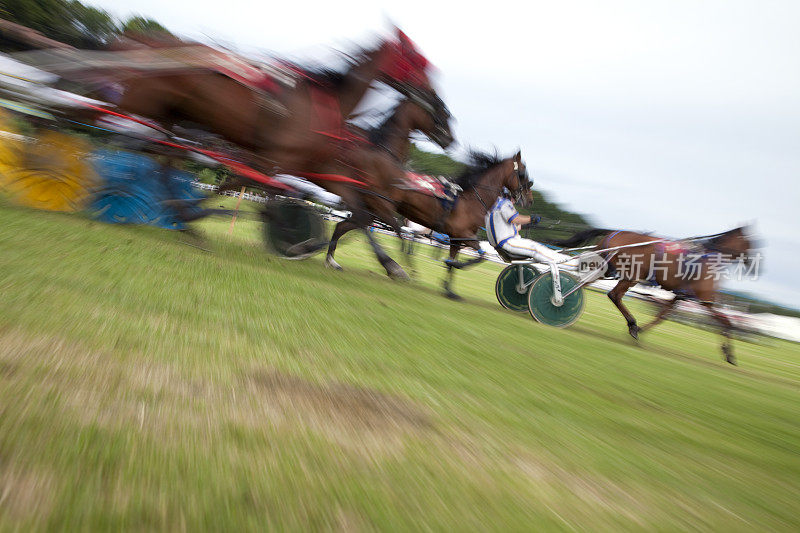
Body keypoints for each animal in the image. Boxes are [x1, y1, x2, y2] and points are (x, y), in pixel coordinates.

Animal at [552, 227, 756, 364]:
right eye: (751, 243)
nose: (752, 263)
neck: (709, 258)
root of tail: (615, 232)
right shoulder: (706, 300)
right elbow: (726, 322)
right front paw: (729, 354)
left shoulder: (680, 296)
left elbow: (662, 315)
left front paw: (641, 330)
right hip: (631, 274)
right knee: (614, 295)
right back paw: (631, 323)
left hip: (606, 269)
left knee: (583, 284)